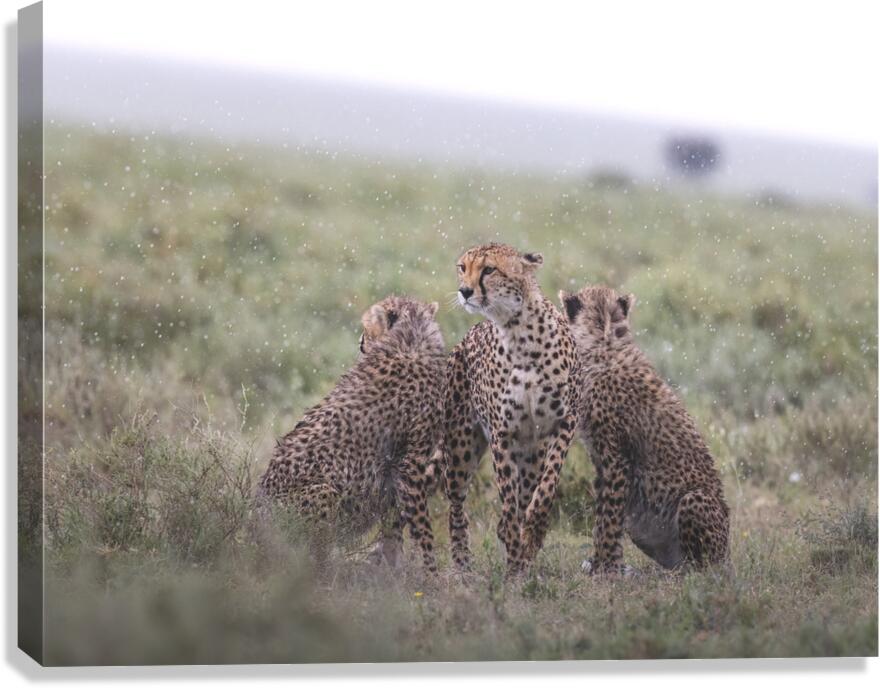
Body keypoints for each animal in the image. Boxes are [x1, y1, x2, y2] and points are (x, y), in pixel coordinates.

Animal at [258, 295, 446, 573]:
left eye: (367, 328)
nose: (360, 341)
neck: (410, 338)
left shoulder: (397, 471)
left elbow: (394, 527)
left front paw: (393, 570)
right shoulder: (409, 467)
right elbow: (421, 529)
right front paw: (430, 572)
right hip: (324, 493)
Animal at [444, 243, 578, 576]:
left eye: (489, 269)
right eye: (462, 267)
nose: (464, 291)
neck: (519, 332)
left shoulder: (564, 422)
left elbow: (546, 488)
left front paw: (531, 535)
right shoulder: (501, 433)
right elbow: (507, 500)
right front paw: (515, 553)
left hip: (531, 453)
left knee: (528, 489)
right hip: (460, 449)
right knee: (456, 506)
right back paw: (463, 564)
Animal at [559, 284, 730, 574]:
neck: (603, 342)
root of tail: (728, 555)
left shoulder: (616, 459)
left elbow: (608, 517)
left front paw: (606, 567)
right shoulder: (602, 461)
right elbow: (604, 516)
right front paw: (605, 563)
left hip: (694, 501)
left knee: (701, 567)